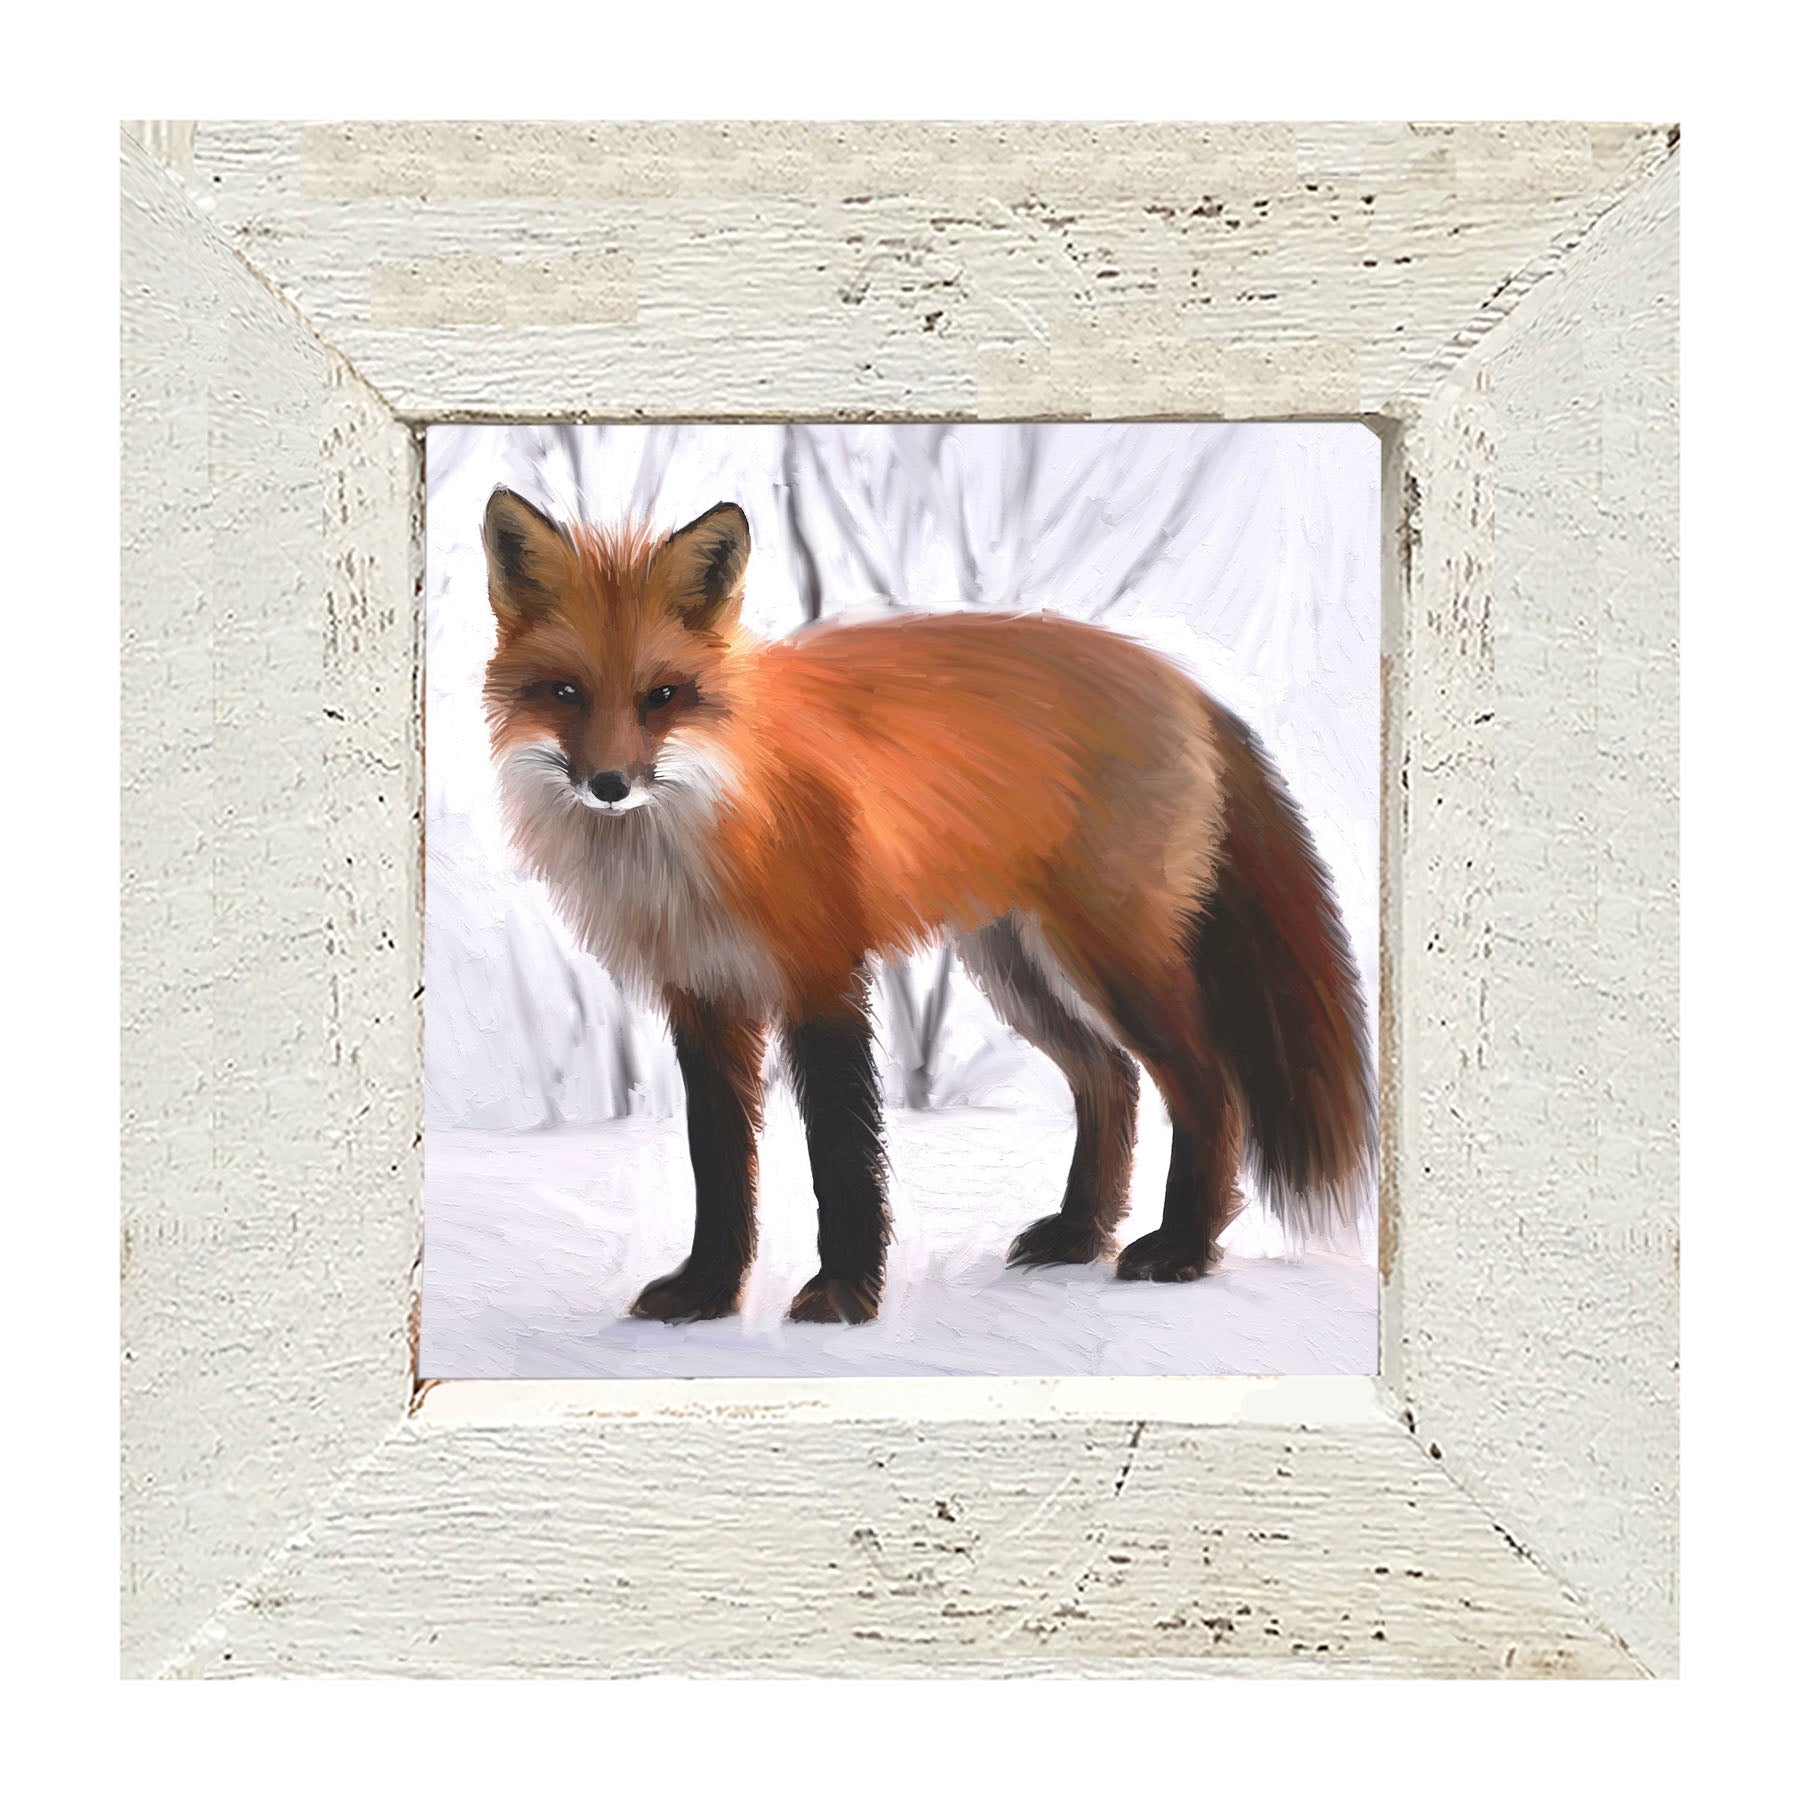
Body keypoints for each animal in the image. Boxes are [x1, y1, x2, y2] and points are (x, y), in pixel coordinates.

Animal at [481, 487, 1374, 1325]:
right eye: (565, 692)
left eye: (663, 695)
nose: (609, 785)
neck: (701, 835)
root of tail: (1180, 680)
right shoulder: (702, 997)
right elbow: (721, 1163)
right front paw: (707, 1291)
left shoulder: (822, 976)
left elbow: (842, 1152)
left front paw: (843, 1295)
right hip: (1016, 968)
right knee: (1110, 1079)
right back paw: (1080, 1233)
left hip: (1114, 960)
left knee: (1206, 1086)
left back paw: (1183, 1247)